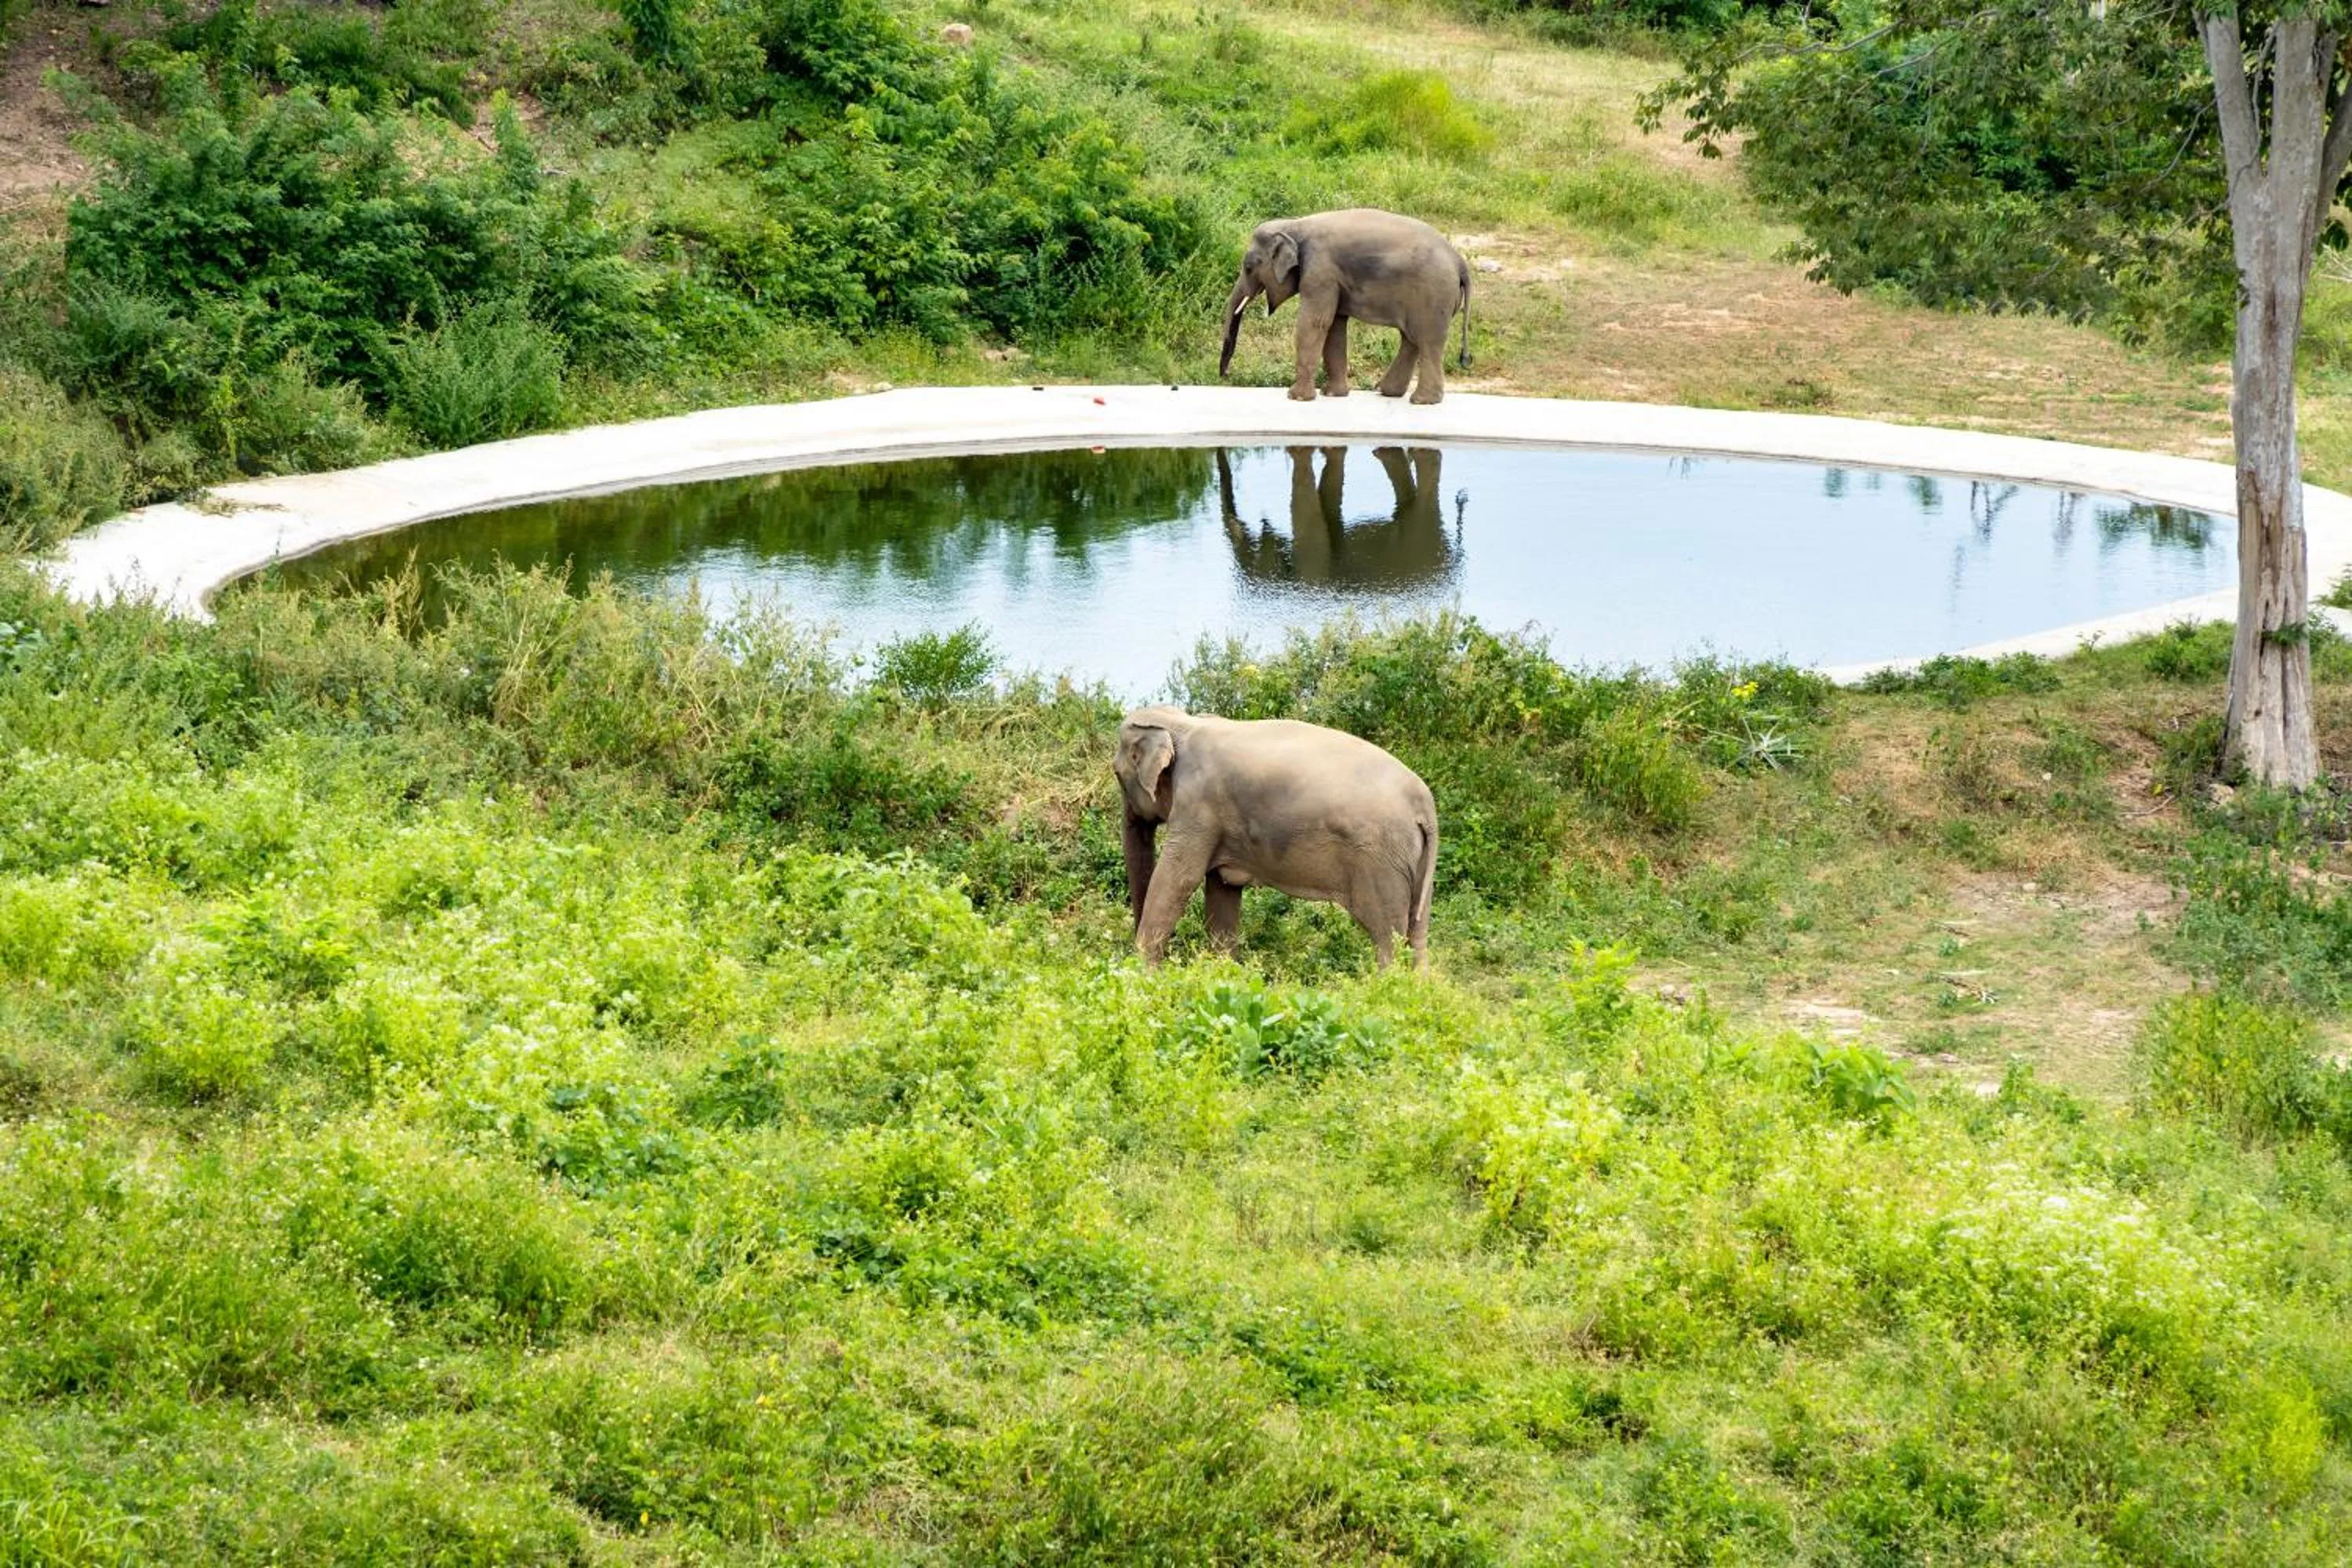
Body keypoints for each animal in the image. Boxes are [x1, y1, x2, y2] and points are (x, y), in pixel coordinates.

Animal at [1114, 705, 1439, 970]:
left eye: (1116, 774)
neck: (1183, 722)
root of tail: (1426, 805)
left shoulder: (1198, 805)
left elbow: (1179, 878)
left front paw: (1141, 974)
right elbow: (1222, 890)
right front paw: (1223, 974)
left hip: (1381, 861)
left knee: (1386, 936)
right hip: (1415, 862)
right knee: (1417, 933)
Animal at [1217, 209, 1472, 405]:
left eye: (1249, 267)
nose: (1225, 376)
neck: (1296, 224)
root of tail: (1459, 261)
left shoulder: (1321, 271)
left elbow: (1314, 323)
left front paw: (1296, 398)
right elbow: (1335, 327)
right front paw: (1332, 395)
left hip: (1434, 296)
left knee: (1427, 340)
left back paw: (1421, 401)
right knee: (1411, 339)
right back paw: (1387, 392)